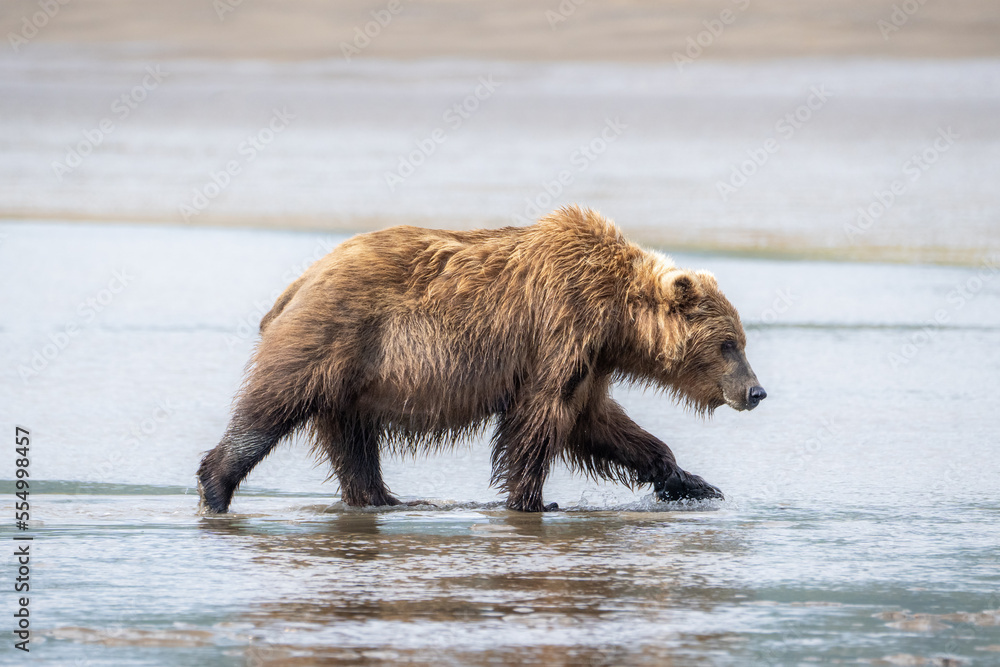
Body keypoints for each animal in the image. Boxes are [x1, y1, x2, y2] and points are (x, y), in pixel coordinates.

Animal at [197, 205, 765, 513]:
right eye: (728, 344)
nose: (756, 391)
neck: (615, 318)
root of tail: (300, 280)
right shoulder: (559, 330)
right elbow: (540, 419)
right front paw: (532, 500)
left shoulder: (591, 360)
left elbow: (599, 423)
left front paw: (691, 483)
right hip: (334, 338)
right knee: (270, 408)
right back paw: (216, 485)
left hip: (352, 381)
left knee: (353, 444)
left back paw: (385, 499)